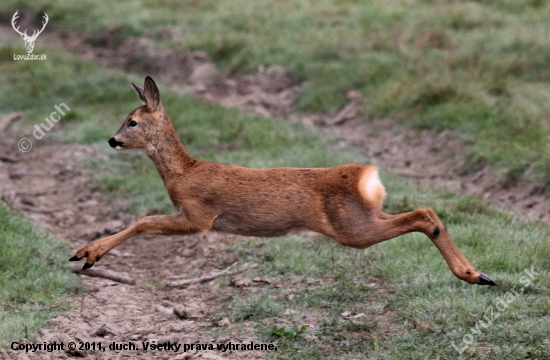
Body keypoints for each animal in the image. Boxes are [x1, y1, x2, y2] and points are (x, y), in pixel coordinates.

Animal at [69, 76, 496, 286]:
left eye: (132, 122)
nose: (112, 140)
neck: (183, 172)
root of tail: (366, 177)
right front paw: (85, 253)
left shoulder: (199, 215)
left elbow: (143, 222)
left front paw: (87, 254)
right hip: (362, 217)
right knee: (426, 213)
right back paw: (480, 274)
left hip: (351, 227)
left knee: (423, 214)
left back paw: (474, 275)